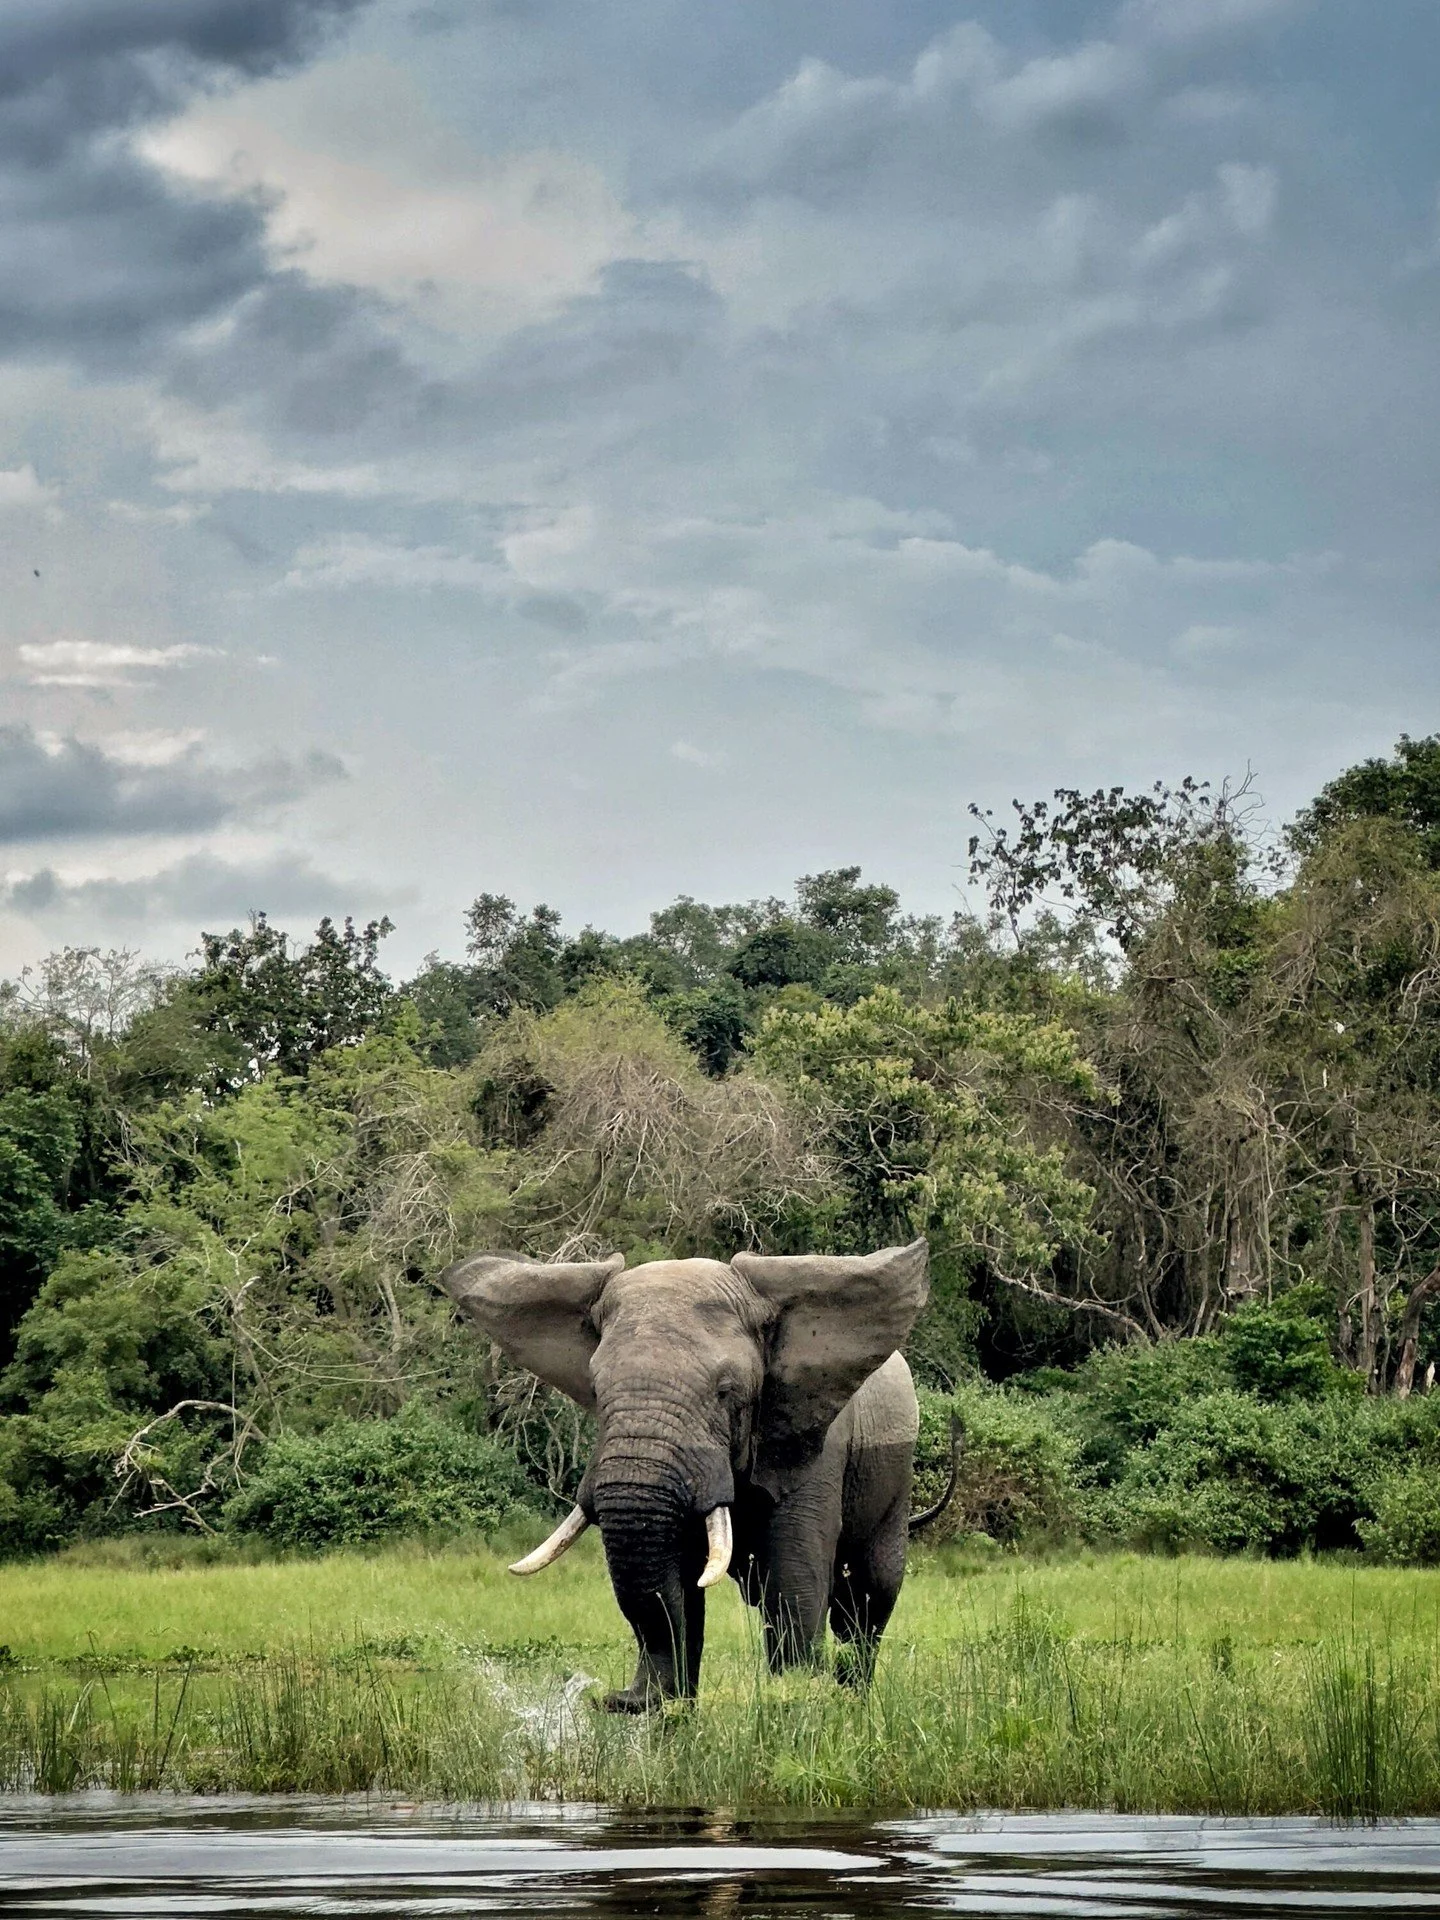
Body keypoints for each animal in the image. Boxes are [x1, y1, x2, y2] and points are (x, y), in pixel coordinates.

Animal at [440, 1237, 932, 1711]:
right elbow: (678, 1590)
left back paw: (854, 1704)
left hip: (894, 1481)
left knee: (866, 1600)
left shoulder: (813, 1444)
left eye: (726, 1392)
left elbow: (792, 1588)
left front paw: (796, 1709)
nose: (614, 1699)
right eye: (596, 1390)